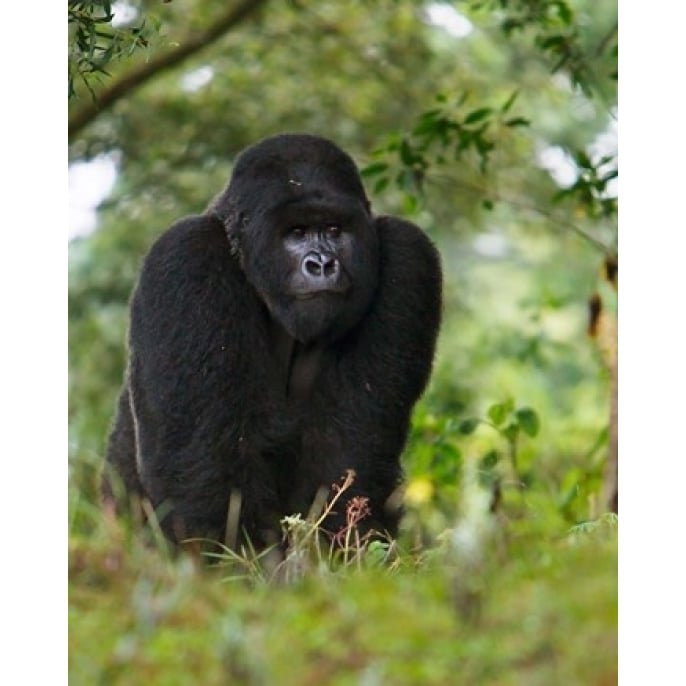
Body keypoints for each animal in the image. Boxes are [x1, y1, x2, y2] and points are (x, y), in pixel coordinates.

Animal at [103, 134, 446, 552]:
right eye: (296, 233)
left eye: (334, 230)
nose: (322, 264)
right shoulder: (184, 256)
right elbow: (200, 465)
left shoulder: (408, 254)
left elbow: (349, 453)